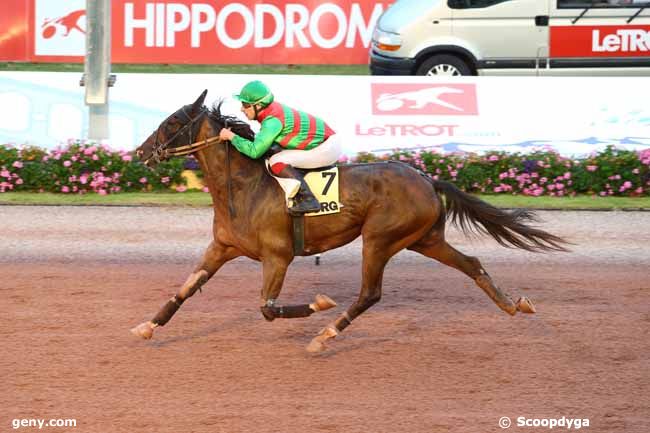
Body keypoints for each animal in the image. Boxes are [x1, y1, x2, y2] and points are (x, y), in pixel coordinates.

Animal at [129, 90, 564, 352]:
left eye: (171, 124)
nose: (140, 153)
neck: (243, 187)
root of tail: (426, 178)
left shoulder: (278, 256)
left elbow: (268, 308)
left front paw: (318, 303)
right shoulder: (223, 247)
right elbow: (185, 288)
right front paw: (147, 326)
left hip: (380, 238)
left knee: (369, 293)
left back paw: (325, 334)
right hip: (425, 238)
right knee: (471, 264)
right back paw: (513, 305)